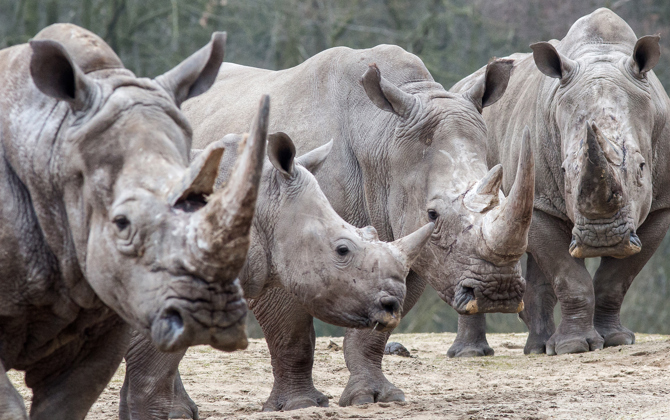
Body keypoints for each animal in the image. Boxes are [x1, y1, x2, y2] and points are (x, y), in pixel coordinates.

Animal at [167, 45, 535, 408]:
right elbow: (291, 332)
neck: (383, 139)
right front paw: (301, 404)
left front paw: (374, 398)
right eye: (432, 214)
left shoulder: (408, 249)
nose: (498, 292)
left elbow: (375, 328)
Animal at [450, 8, 670, 356]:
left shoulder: (661, 204)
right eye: (565, 170)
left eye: (641, 168)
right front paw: (574, 347)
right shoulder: (539, 202)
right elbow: (569, 278)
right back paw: (473, 353)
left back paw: (538, 348)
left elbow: (616, 279)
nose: (602, 237)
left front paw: (616, 340)